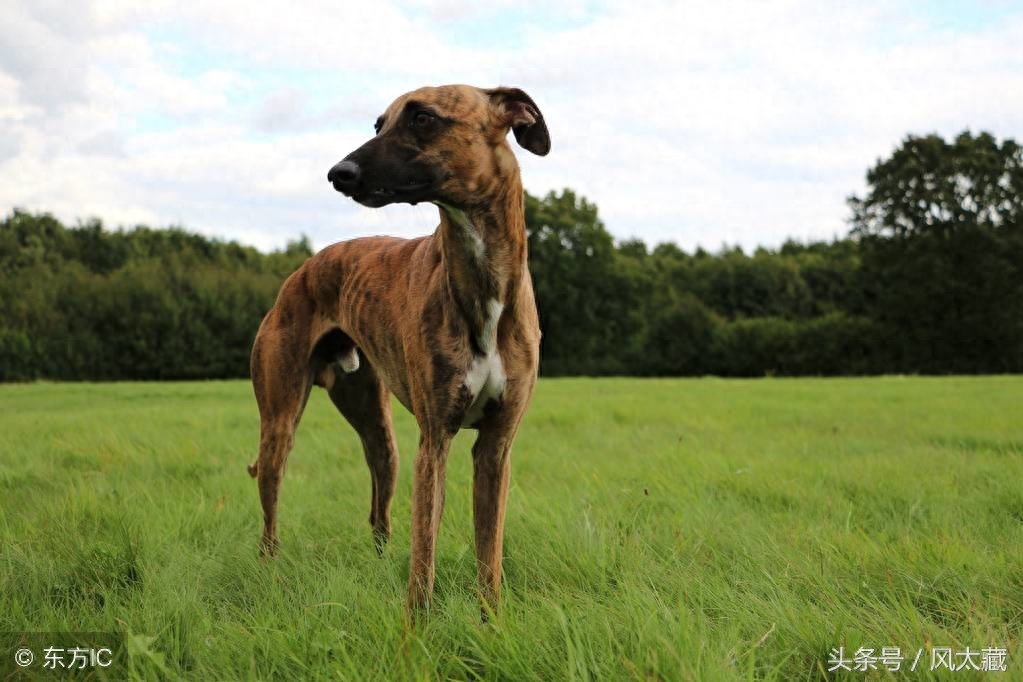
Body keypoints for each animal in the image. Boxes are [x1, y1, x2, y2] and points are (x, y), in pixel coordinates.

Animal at [248, 83, 552, 613]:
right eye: (378, 124)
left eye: (424, 118)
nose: (338, 173)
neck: (483, 284)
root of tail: (302, 270)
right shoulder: (434, 441)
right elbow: (423, 561)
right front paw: (419, 628)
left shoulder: (496, 448)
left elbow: (489, 560)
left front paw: (491, 623)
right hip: (279, 423)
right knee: (270, 517)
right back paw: (269, 572)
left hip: (379, 433)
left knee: (379, 513)